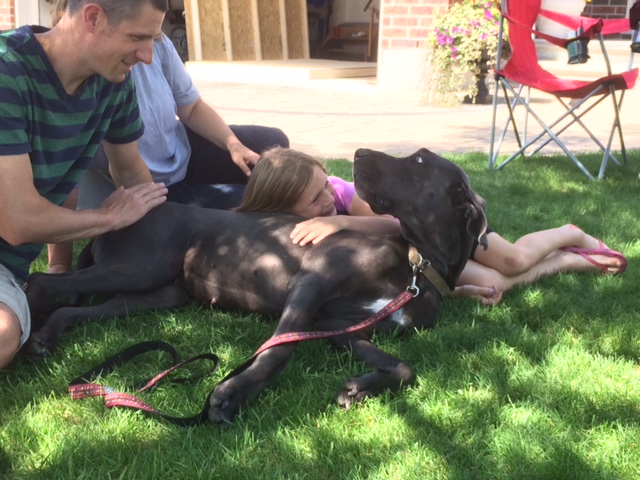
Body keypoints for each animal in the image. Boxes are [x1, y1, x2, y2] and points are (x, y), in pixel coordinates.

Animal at [25, 148, 487, 425]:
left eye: (421, 161)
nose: (358, 152)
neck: (415, 264)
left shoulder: (341, 327)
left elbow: (406, 368)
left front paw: (358, 388)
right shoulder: (312, 283)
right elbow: (279, 349)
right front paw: (233, 393)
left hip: (158, 292)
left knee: (71, 305)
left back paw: (47, 335)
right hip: (139, 266)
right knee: (41, 282)